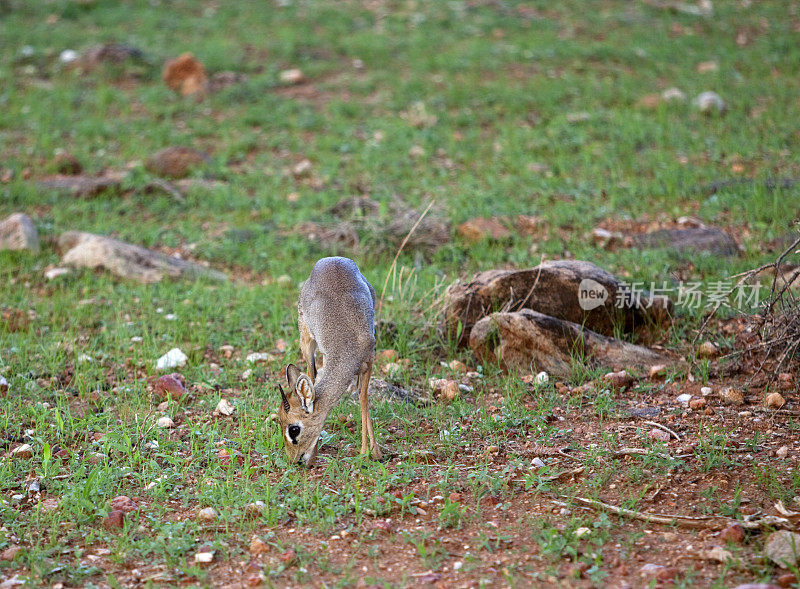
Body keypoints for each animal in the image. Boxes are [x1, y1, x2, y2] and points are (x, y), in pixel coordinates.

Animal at [278, 256, 384, 464]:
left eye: (294, 429)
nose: (294, 460)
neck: (348, 344)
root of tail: (330, 259)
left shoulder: (368, 361)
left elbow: (363, 398)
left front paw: (370, 452)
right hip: (307, 340)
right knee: (311, 373)